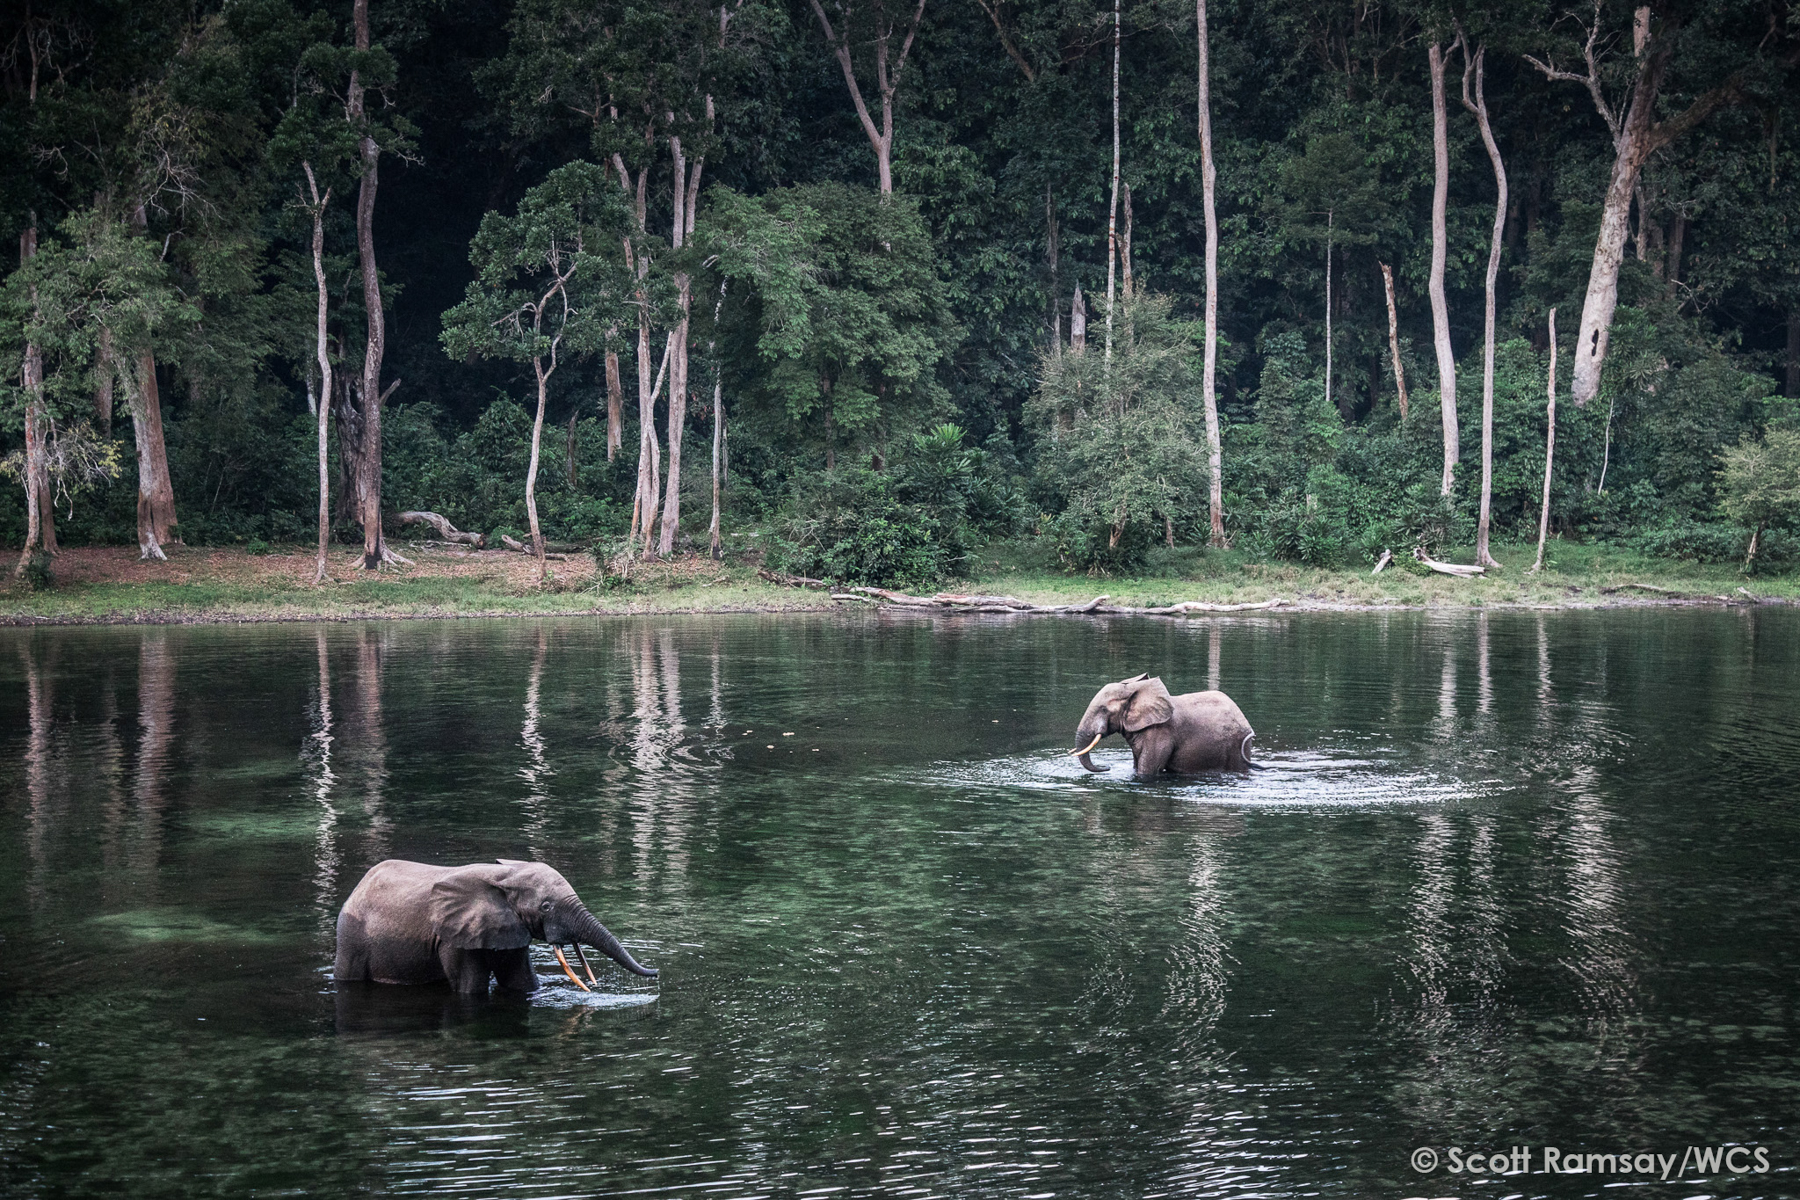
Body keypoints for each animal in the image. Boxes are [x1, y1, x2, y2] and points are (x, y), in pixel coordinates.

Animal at [334, 859, 658, 994]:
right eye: (546, 907)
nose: (656, 973)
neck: (505, 875)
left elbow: (521, 981)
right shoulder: (452, 937)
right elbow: (471, 988)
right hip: (352, 939)